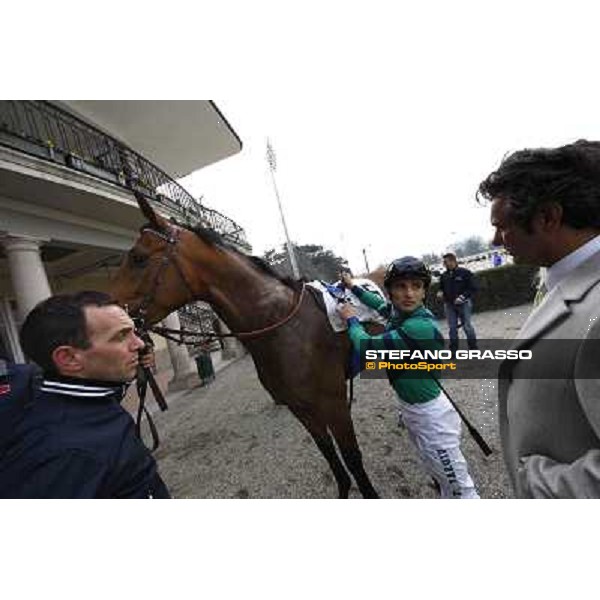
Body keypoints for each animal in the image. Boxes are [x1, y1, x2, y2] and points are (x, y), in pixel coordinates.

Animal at [110, 195, 378, 500]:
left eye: (138, 258)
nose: (105, 308)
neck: (284, 323)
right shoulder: (301, 407)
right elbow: (331, 456)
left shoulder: (334, 403)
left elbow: (352, 457)